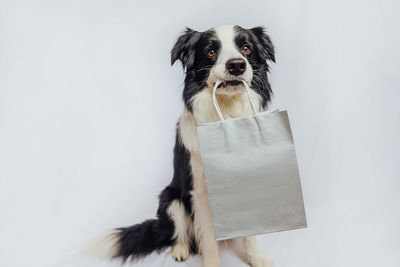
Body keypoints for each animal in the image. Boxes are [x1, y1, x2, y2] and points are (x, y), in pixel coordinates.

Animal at [90, 25, 276, 267]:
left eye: (246, 48)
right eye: (210, 51)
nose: (236, 65)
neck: (227, 112)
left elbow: (251, 233)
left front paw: (257, 259)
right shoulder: (200, 193)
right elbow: (208, 239)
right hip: (171, 200)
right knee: (180, 234)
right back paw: (180, 250)